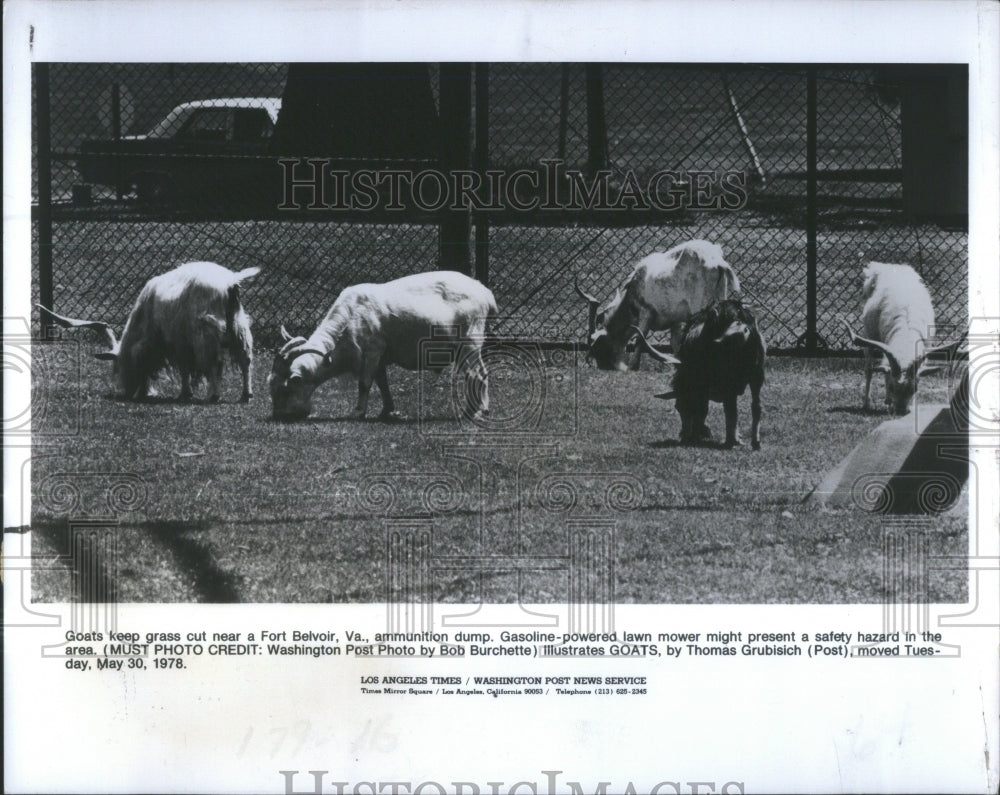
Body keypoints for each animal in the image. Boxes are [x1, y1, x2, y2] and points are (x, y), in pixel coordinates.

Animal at [38, 262, 260, 404]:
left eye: (118, 366)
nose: (128, 392)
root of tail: (230, 282)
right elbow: (185, 369)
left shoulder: (177, 343)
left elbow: (184, 369)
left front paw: (185, 393)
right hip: (240, 328)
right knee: (246, 360)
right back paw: (246, 396)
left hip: (206, 333)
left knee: (215, 362)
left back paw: (214, 395)